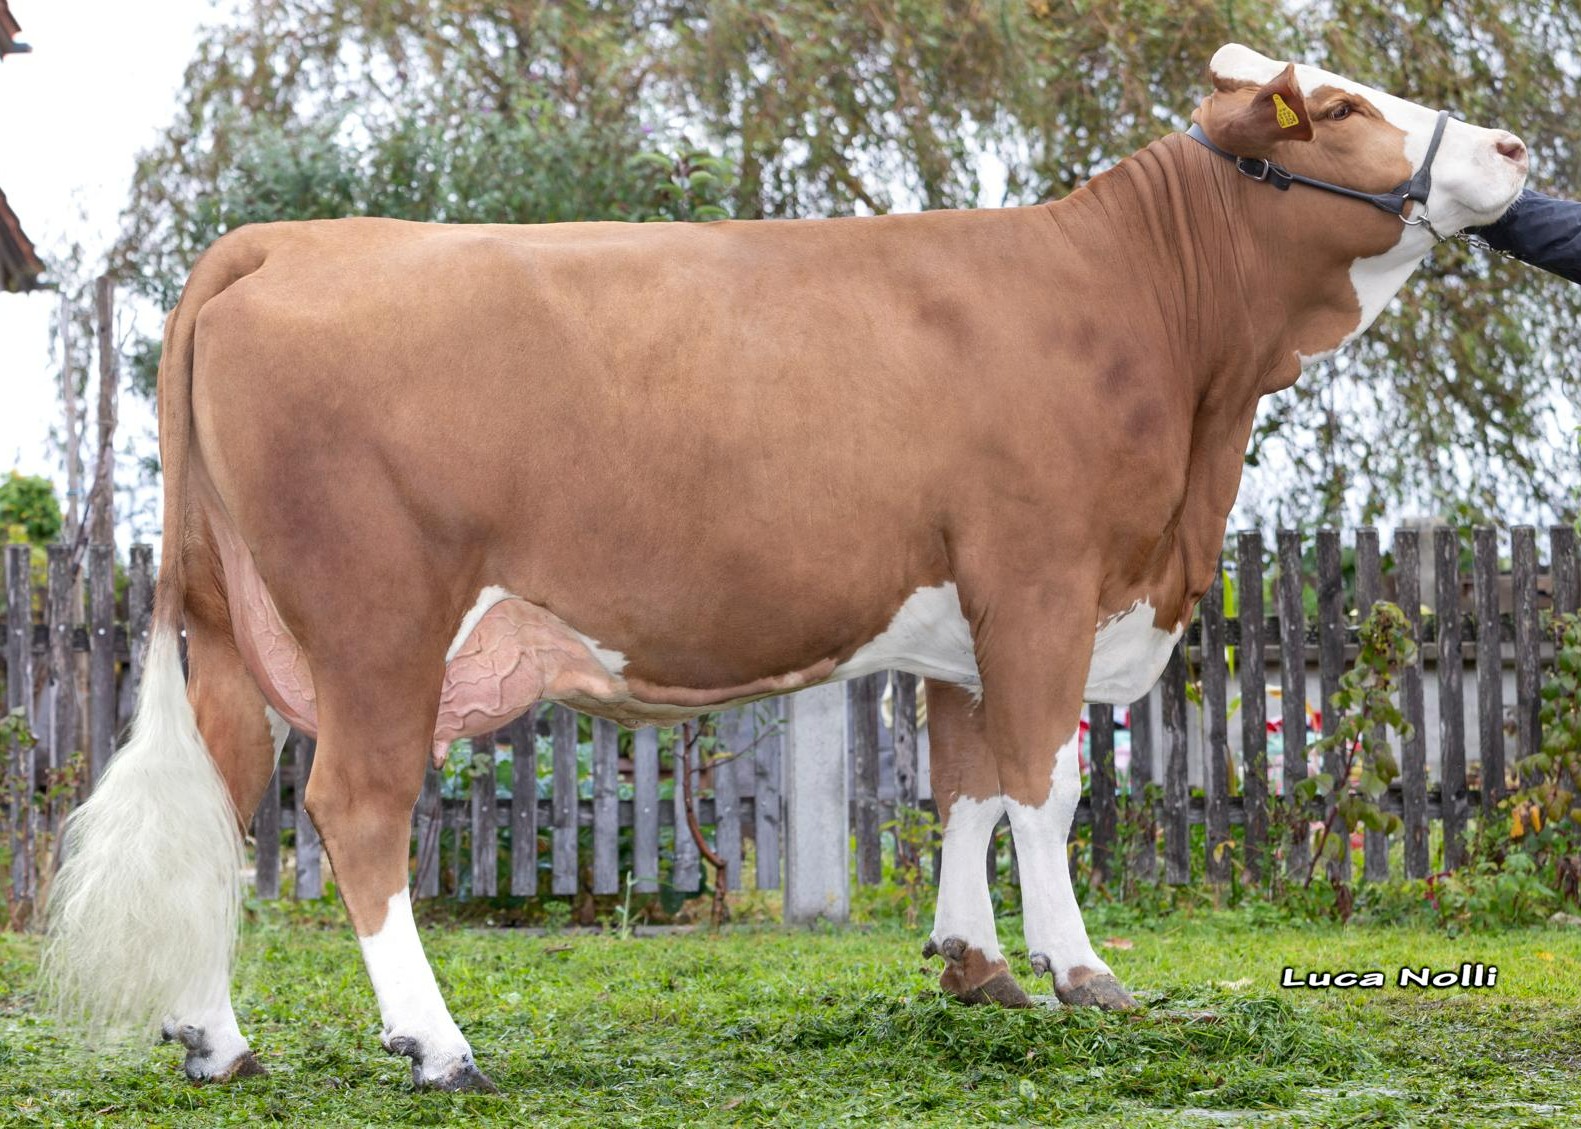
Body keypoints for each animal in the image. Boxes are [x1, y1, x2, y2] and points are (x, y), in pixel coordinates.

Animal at [43, 43, 1527, 1092]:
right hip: (376, 621)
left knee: (227, 797)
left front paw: (973, 968)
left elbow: (965, 783)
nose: (1515, 143)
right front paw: (1083, 974)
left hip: (232, 623)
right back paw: (438, 1043)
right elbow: (1046, 784)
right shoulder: (1042, 577)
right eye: (1336, 105)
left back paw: (218, 1042)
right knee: (350, 807)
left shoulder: (966, 614)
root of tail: (283, 238)